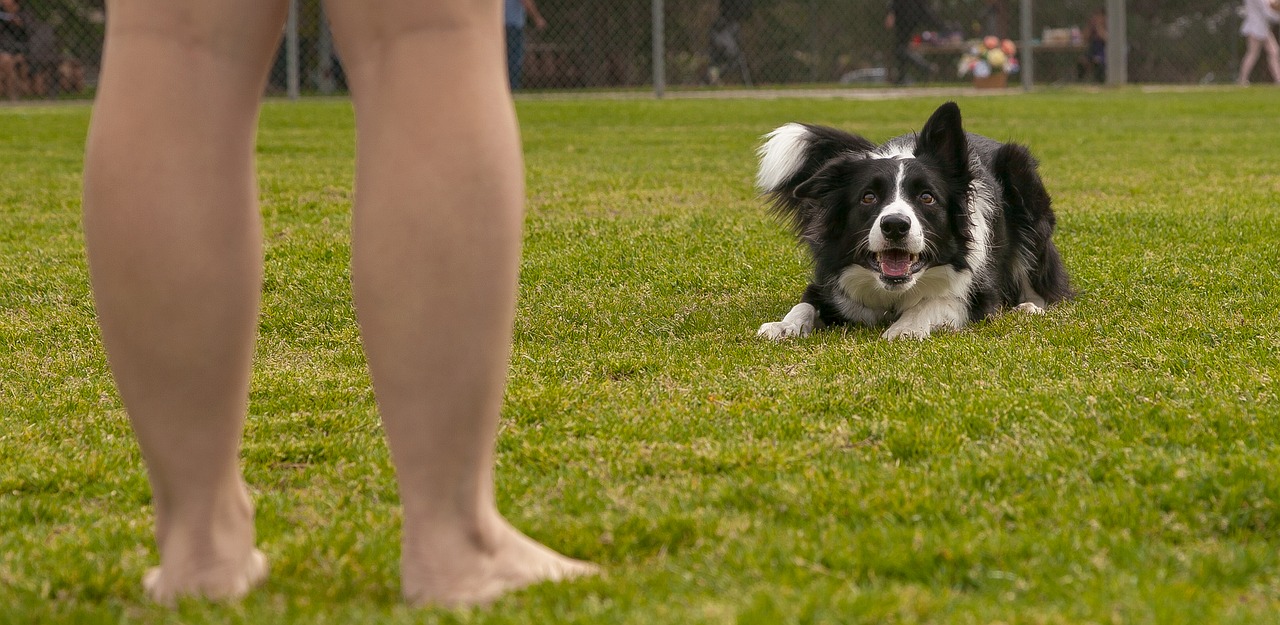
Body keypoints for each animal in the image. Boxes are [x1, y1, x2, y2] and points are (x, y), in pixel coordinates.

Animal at [752, 101, 1075, 340]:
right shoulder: (830, 280)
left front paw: (905, 327)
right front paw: (783, 326)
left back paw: (1029, 307)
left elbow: (938, 302)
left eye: (927, 197)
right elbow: (805, 304)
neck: (893, 293)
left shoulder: (980, 294)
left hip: (1025, 189)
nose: (895, 225)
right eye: (868, 197)